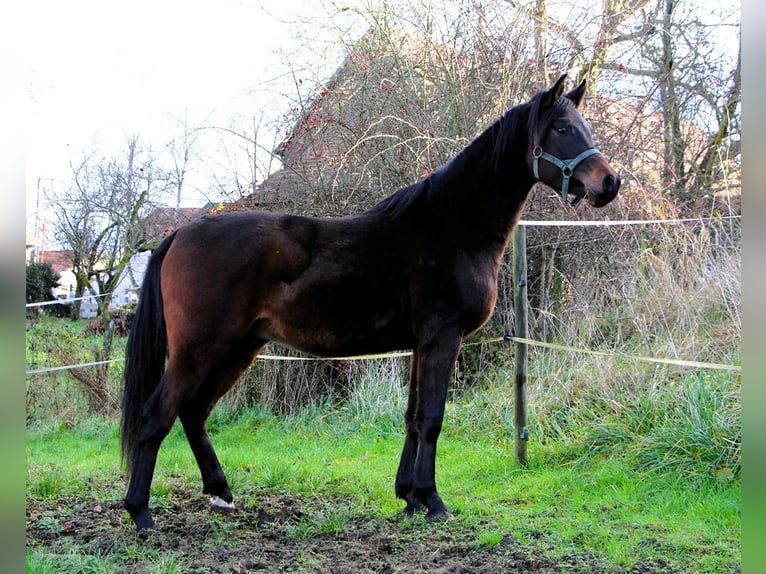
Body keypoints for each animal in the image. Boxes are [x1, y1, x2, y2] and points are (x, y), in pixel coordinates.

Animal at [121, 75, 624, 532]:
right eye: (561, 127)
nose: (610, 183)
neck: (452, 225)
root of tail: (180, 234)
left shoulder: (422, 345)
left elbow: (414, 417)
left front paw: (410, 496)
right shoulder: (443, 340)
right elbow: (433, 418)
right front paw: (433, 501)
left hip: (240, 347)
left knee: (194, 412)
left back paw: (220, 492)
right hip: (199, 348)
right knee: (157, 415)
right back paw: (140, 514)